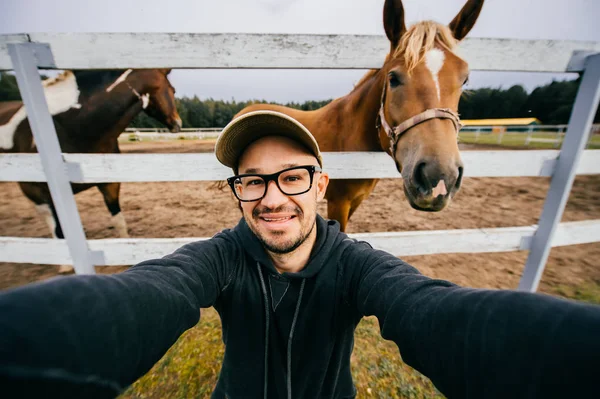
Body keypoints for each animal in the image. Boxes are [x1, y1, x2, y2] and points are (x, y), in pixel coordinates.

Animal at [0, 69, 180, 268]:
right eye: (173, 90)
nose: (178, 123)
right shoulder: (38, 189)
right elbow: (58, 227)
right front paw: (65, 264)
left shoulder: (109, 182)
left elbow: (118, 220)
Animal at [233, 0, 482, 231]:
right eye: (393, 78)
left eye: (464, 79)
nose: (439, 178)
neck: (351, 134)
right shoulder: (338, 202)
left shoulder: (355, 201)